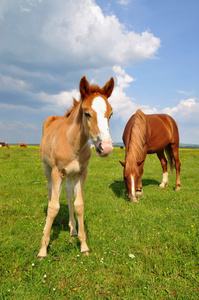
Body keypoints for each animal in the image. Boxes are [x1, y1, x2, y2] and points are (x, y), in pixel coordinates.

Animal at [38, 75, 114, 258]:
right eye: (87, 113)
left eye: (111, 113)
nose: (106, 147)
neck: (72, 142)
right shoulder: (57, 172)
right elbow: (53, 207)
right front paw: (43, 249)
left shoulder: (81, 173)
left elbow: (79, 205)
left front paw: (83, 244)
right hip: (47, 168)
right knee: (50, 190)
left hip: (71, 175)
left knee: (67, 192)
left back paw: (72, 228)